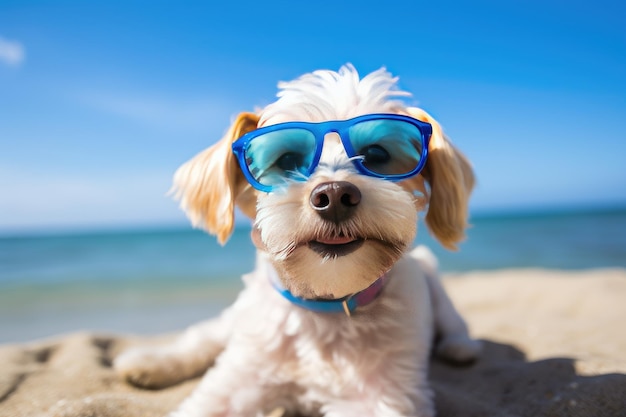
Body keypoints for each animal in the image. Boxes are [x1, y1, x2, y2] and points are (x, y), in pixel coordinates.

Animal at [114, 62, 480, 416]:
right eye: (287, 160)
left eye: (376, 155)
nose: (335, 195)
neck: (323, 309)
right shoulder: (237, 380)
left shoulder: (383, 396)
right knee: (204, 335)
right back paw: (148, 362)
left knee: (453, 322)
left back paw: (460, 347)